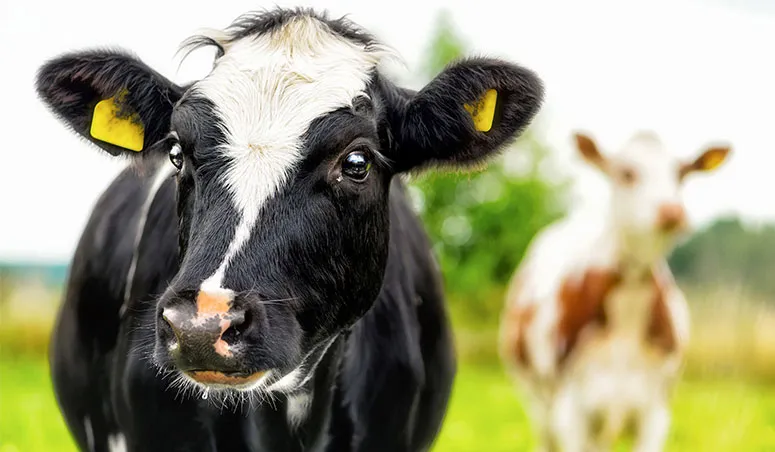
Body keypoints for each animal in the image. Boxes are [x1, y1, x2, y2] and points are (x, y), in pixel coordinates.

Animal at [499, 131, 730, 452]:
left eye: (682, 174)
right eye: (627, 173)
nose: (671, 211)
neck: (627, 311)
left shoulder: (656, 412)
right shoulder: (570, 412)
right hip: (537, 402)